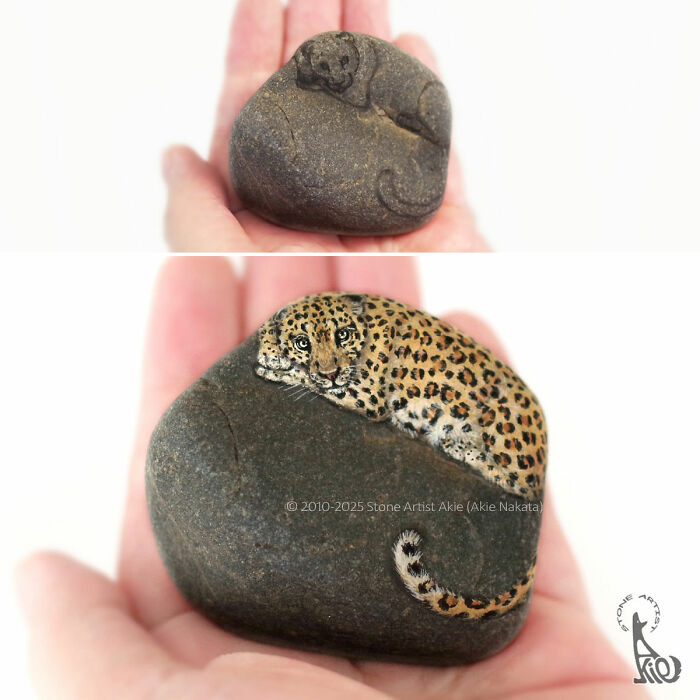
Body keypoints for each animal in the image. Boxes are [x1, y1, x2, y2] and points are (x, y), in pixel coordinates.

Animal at [256, 293, 546, 619]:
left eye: (342, 335)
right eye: (302, 342)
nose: (331, 373)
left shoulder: (367, 396)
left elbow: (311, 380)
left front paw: (272, 366)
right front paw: (269, 347)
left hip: (501, 422)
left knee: (515, 480)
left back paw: (455, 445)